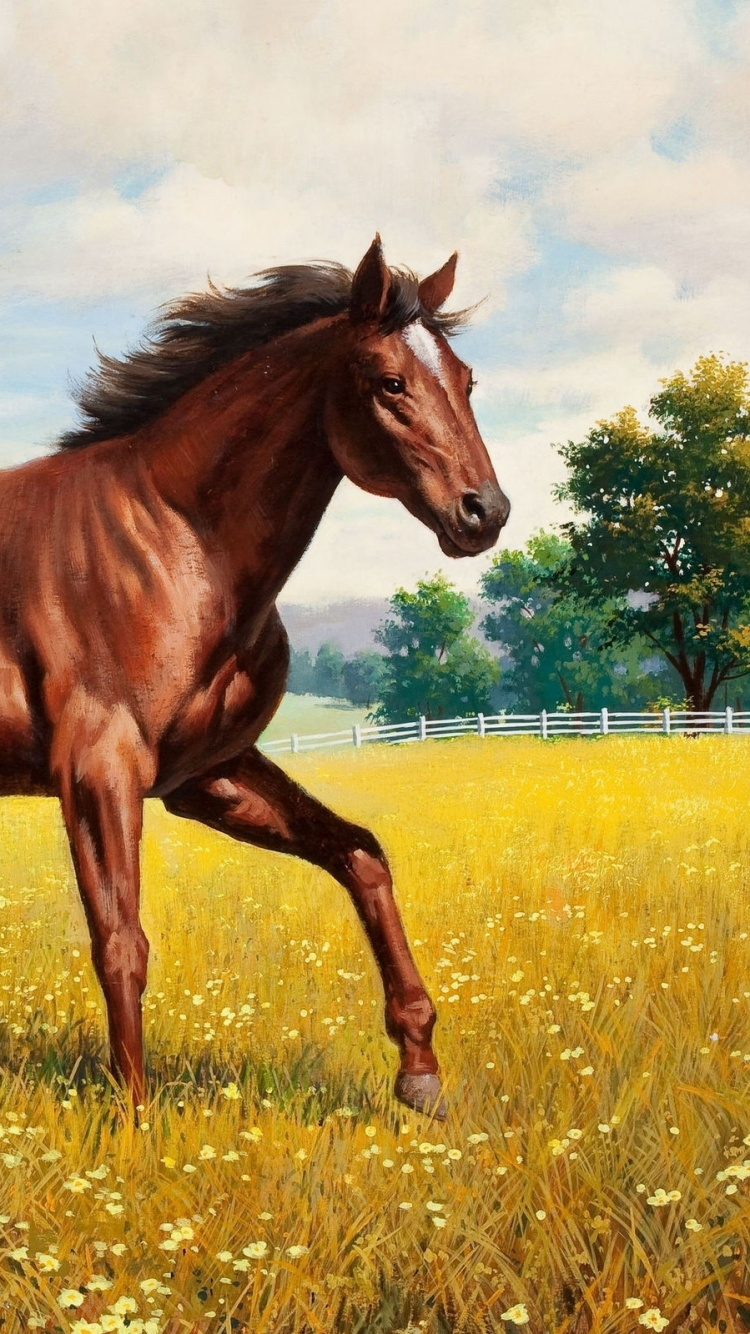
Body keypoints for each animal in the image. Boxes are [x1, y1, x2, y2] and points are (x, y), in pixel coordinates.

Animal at [0, 236, 509, 1118]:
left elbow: (361, 854)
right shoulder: (98, 771)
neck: (174, 540)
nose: (486, 513)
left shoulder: (209, 775)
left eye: (466, 379)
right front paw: (134, 1120)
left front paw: (420, 1074)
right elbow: (120, 941)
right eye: (390, 382)